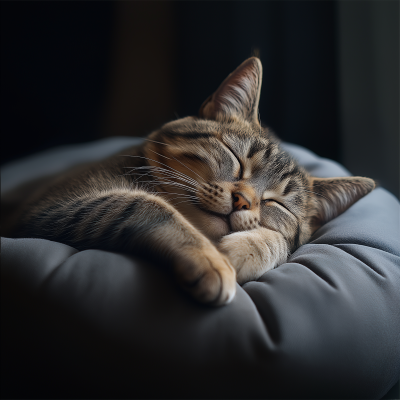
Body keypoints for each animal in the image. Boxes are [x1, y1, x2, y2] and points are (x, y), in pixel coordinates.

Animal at [5, 57, 376, 306]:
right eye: (236, 158)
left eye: (277, 203)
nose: (243, 201)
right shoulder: (50, 208)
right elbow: (145, 203)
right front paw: (211, 261)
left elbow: (282, 241)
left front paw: (243, 249)